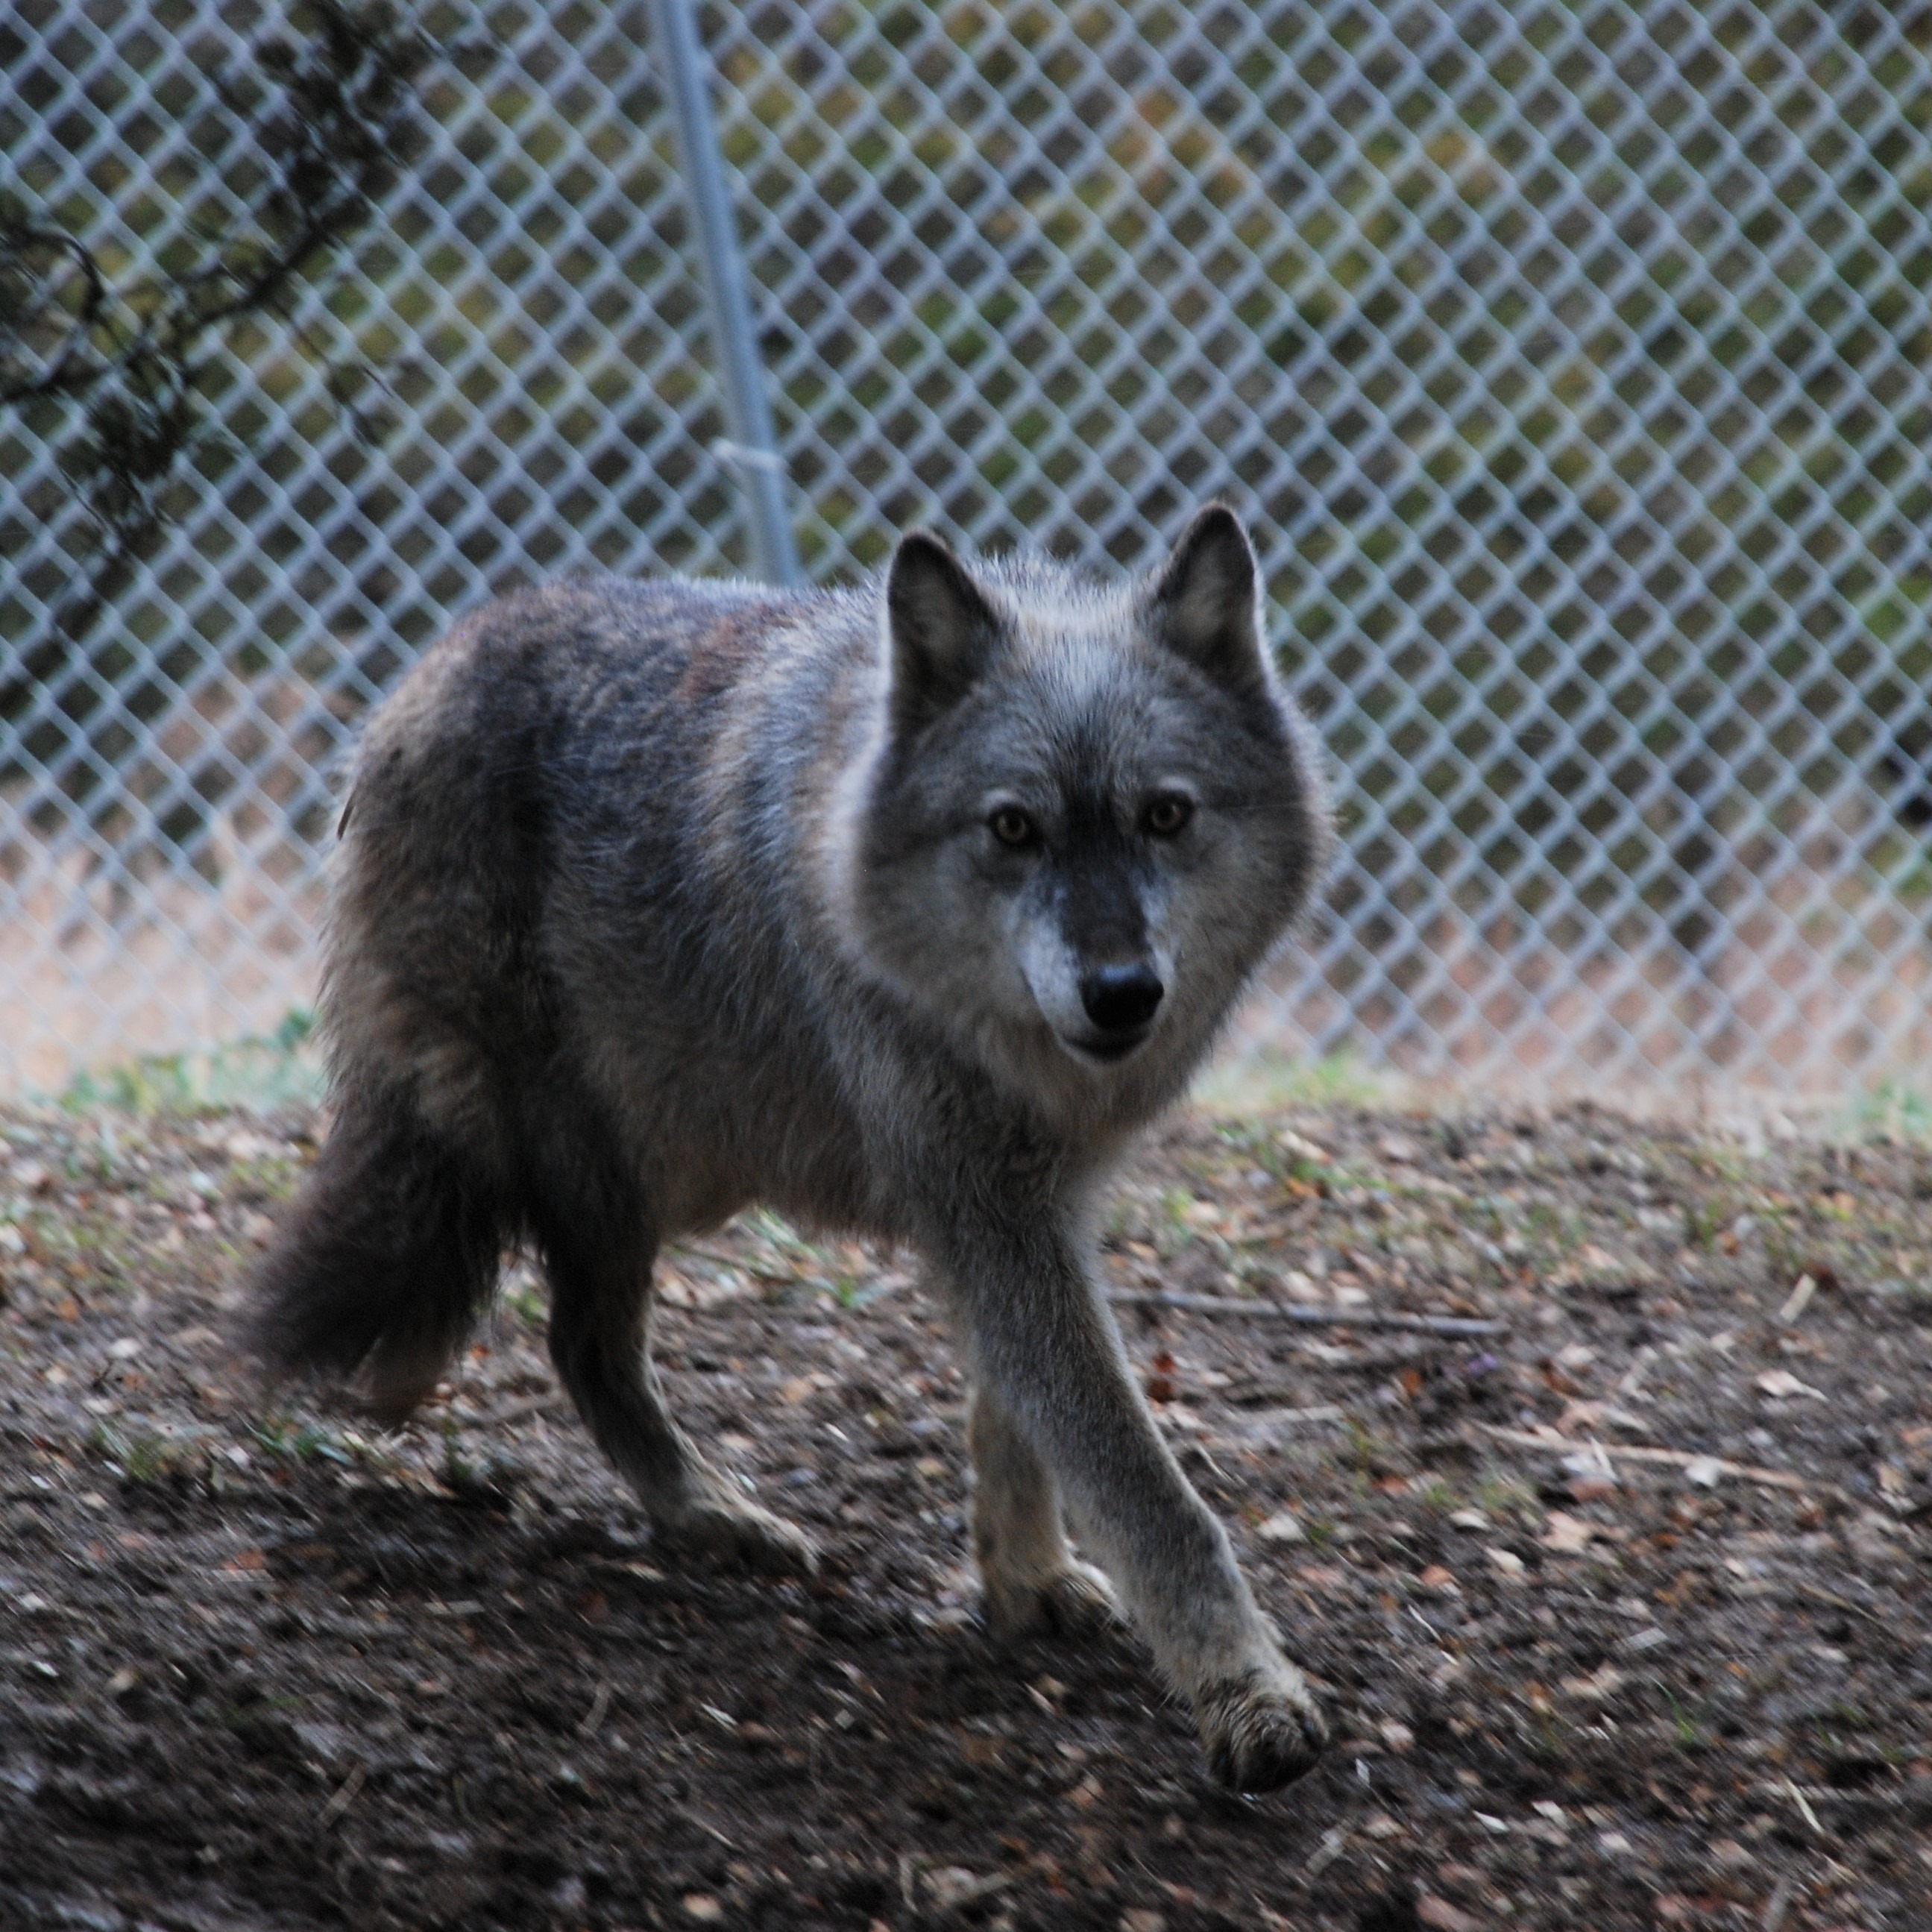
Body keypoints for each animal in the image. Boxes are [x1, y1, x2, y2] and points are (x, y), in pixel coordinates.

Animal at [247, 504, 1333, 1791]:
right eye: (1012, 828)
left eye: (1164, 814)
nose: (1120, 992)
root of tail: (415, 679)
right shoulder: (984, 1205)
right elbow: (1146, 1486)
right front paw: (1248, 1696)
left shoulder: (1030, 1207)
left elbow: (1013, 1415)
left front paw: (1024, 1582)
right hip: (594, 1164)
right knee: (569, 1340)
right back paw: (701, 1511)